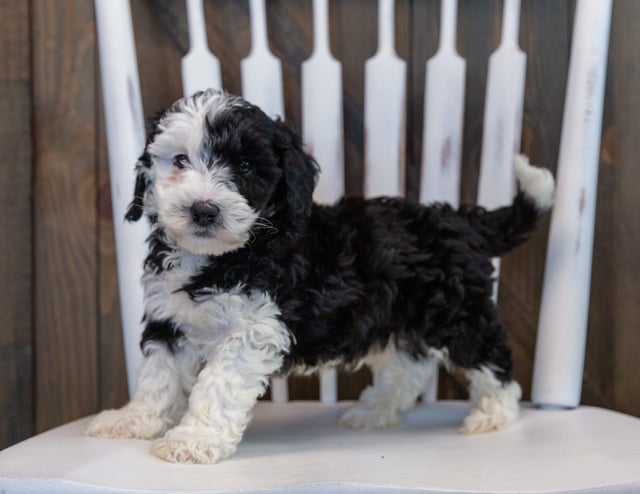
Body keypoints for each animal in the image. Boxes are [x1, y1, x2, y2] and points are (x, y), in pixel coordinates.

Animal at [85, 88, 556, 464]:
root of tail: (462, 222)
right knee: (409, 367)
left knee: (492, 358)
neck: (224, 256)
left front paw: (193, 440)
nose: (203, 210)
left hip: (456, 315)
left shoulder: (253, 329)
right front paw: (133, 420)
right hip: (397, 315)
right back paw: (374, 411)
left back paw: (493, 414)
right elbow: (157, 377)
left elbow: (216, 384)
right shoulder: (169, 319)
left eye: (246, 168)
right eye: (180, 160)